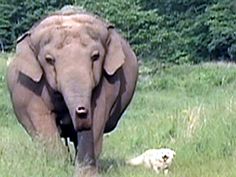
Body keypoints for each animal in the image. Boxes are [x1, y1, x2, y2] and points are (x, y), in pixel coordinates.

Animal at [6, 6, 138, 174]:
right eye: (49, 60)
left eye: (95, 56)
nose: (81, 110)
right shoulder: (28, 86)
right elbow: (40, 118)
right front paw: (57, 168)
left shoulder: (110, 82)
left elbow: (97, 116)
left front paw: (85, 171)